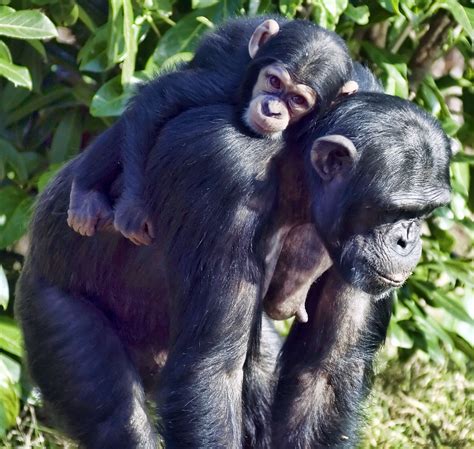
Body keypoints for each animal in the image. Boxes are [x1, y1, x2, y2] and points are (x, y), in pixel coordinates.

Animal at [15, 90, 452, 444]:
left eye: (425, 212)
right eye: (394, 210)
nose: (407, 239)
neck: (293, 176)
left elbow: (325, 370)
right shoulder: (226, 175)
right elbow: (213, 371)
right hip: (53, 312)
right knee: (115, 416)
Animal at [67, 16, 356, 245]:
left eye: (297, 100)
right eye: (274, 82)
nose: (272, 109)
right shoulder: (225, 81)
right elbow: (159, 98)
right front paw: (134, 209)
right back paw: (85, 192)